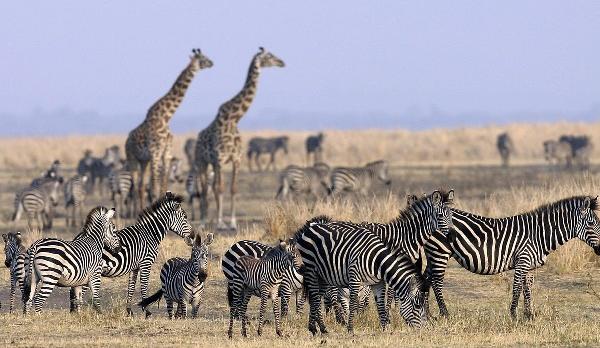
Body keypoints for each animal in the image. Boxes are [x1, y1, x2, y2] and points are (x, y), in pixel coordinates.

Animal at [124, 48, 213, 212]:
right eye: (203, 58)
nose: (212, 63)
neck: (165, 117)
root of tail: (127, 140)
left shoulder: (166, 154)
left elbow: (163, 185)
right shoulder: (155, 153)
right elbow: (154, 188)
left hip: (143, 161)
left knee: (140, 186)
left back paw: (140, 210)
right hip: (132, 158)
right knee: (136, 185)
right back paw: (136, 212)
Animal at [193, 47, 284, 230]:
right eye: (269, 56)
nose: (282, 62)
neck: (233, 119)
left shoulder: (236, 159)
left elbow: (233, 189)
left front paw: (232, 222)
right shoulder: (220, 160)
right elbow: (220, 188)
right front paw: (220, 223)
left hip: (212, 165)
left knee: (212, 188)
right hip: (202, 162)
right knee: (205, 189)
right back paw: (204, 221)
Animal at [292, 215, 428, 334]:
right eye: (417, 305)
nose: (422, 330)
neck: (378, 261)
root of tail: (311, 227)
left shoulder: (378, 283)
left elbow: (380, 306)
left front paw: (384, 329)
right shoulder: (354, 278)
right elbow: (352, 304)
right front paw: (350, 329)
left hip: (324, 275)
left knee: (316, 297)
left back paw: (318, 328)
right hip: (311, 268)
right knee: (315, 297)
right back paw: (317, 328)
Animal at [422, 194, 600, 320]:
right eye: (592, 224)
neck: (539, 235)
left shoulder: (530, 265)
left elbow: (528, 290)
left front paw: (529, 316)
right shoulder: (523, 260)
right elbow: (516, 289)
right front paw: (514, 315)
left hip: (432, 254)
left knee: (426, 279)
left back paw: (428, 314)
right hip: (440, 253)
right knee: (436, 283)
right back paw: (445, 314)